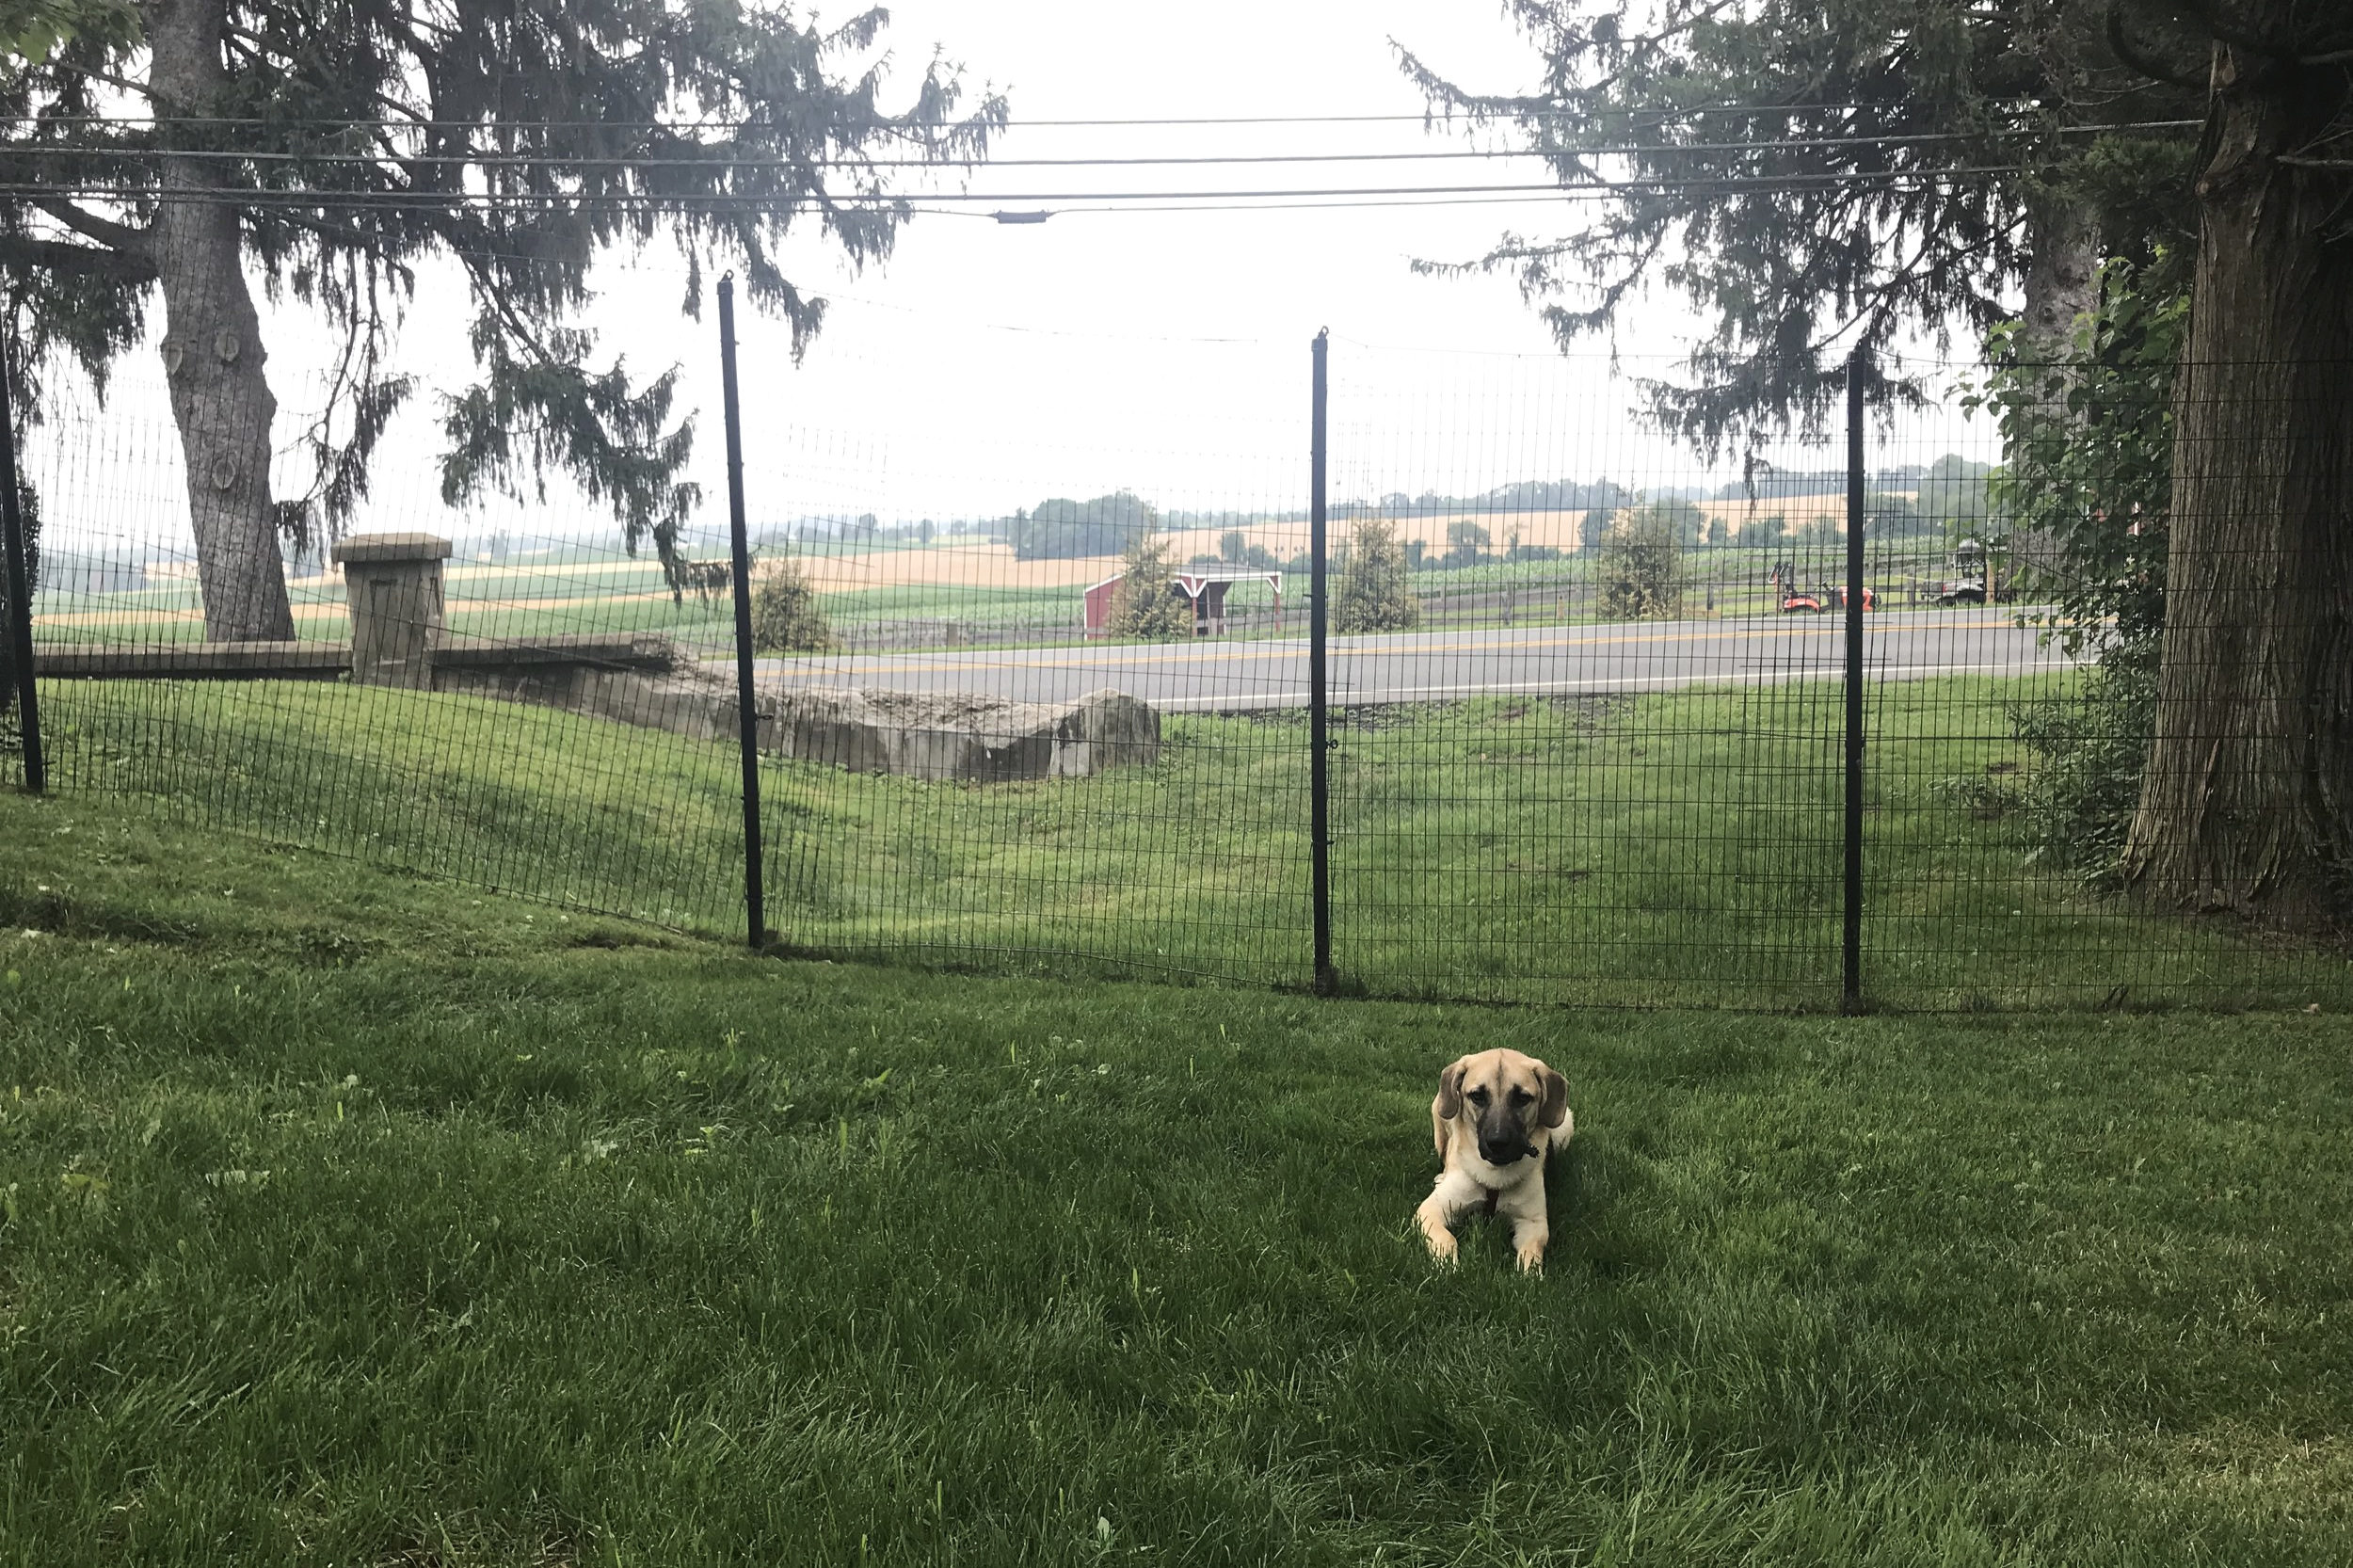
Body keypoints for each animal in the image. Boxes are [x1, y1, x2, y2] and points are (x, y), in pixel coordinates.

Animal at [1412, 1045, 1581, 1261]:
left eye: (1522, 1098)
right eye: (1477, 1096)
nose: (1497, 1142)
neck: (1495, 1176)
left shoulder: (1533, 1223)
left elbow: (1531, 1254)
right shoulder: (1431, 1211)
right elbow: (1447, 1239)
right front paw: (1450, 1265)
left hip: (1564, 1125)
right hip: (1439, 1118)